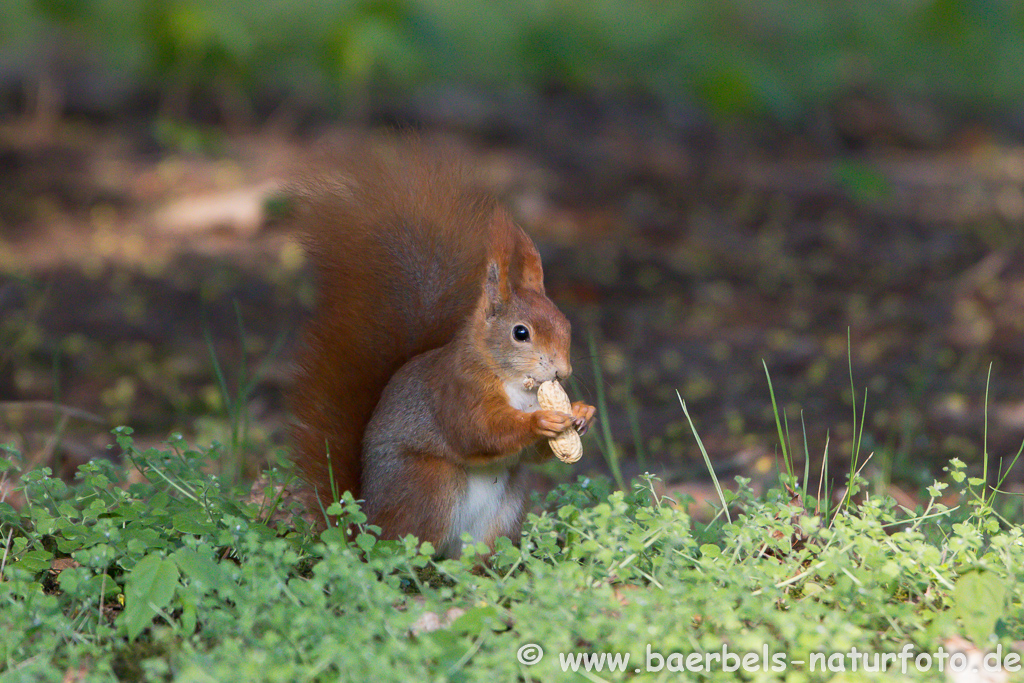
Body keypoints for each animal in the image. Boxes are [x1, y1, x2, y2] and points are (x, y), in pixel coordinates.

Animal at [284, 136, 598, 557]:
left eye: (566, 324)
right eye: (521, 333)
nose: (563, 372)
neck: (519, 386)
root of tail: (362, 528)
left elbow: (533, 454)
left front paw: (581, 413)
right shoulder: (456, 390)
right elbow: (479, 431)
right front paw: (540, 422)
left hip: (506, 507)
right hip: (431, 484)